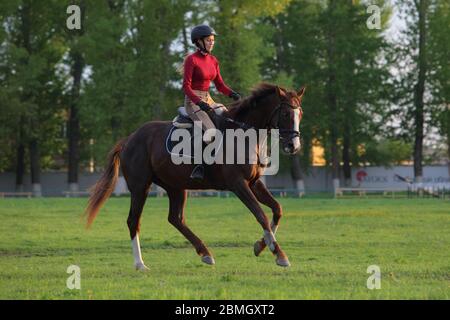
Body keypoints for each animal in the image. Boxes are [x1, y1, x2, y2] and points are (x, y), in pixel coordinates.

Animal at [84, 82, 304, 270]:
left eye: (300, 113)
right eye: (286, 113)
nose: (293, 146)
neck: (243, 135)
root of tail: (129, 139)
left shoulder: (254, 183)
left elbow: (277, 209)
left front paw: (261, 245)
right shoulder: (238, 184)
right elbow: (261, 215)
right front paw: (280, 255)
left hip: (176, 187)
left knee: (175, 218)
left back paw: (205, 253)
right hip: (140, 187)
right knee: (133, 221)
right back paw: (140, 264)